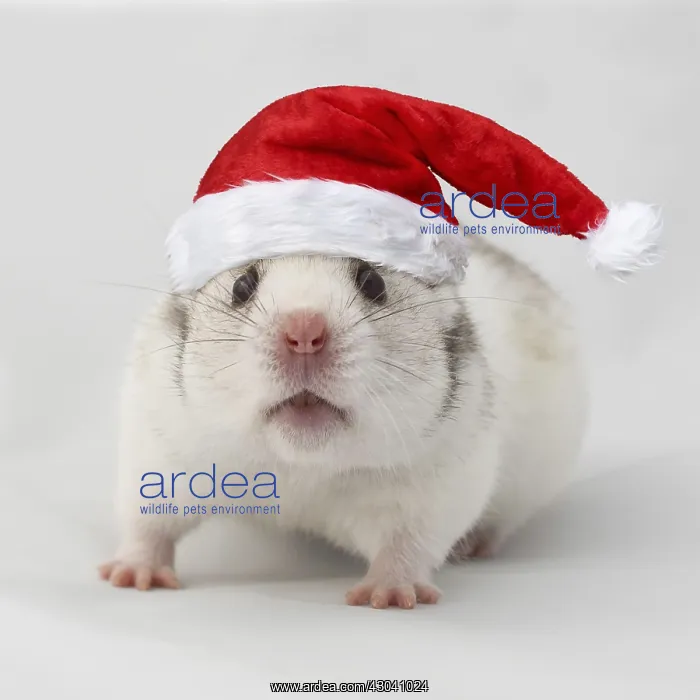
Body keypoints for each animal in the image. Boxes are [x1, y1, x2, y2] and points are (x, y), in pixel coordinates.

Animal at [98, 236, 587, 609]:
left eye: (372, 282)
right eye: (242, 285)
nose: (304, 334)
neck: (300, 467)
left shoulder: (438, 485)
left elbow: (407, 545)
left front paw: (390, 596)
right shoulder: (160, 445)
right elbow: (149, 522)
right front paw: (129, 576)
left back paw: (476, 545)